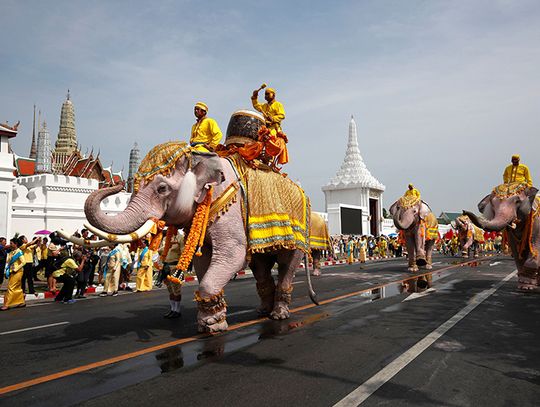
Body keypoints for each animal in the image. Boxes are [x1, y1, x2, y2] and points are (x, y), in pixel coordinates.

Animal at [80, 142, 316, 334]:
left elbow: (233, 256)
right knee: (260, 268)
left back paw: (279, 315)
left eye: (162, 188)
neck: (198, 158)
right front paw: (208, 323)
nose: (119, 185)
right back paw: (262, 312)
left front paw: (213, 327)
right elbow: (203, 260)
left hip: (298, 236)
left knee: (286, 266)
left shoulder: (230, 208)